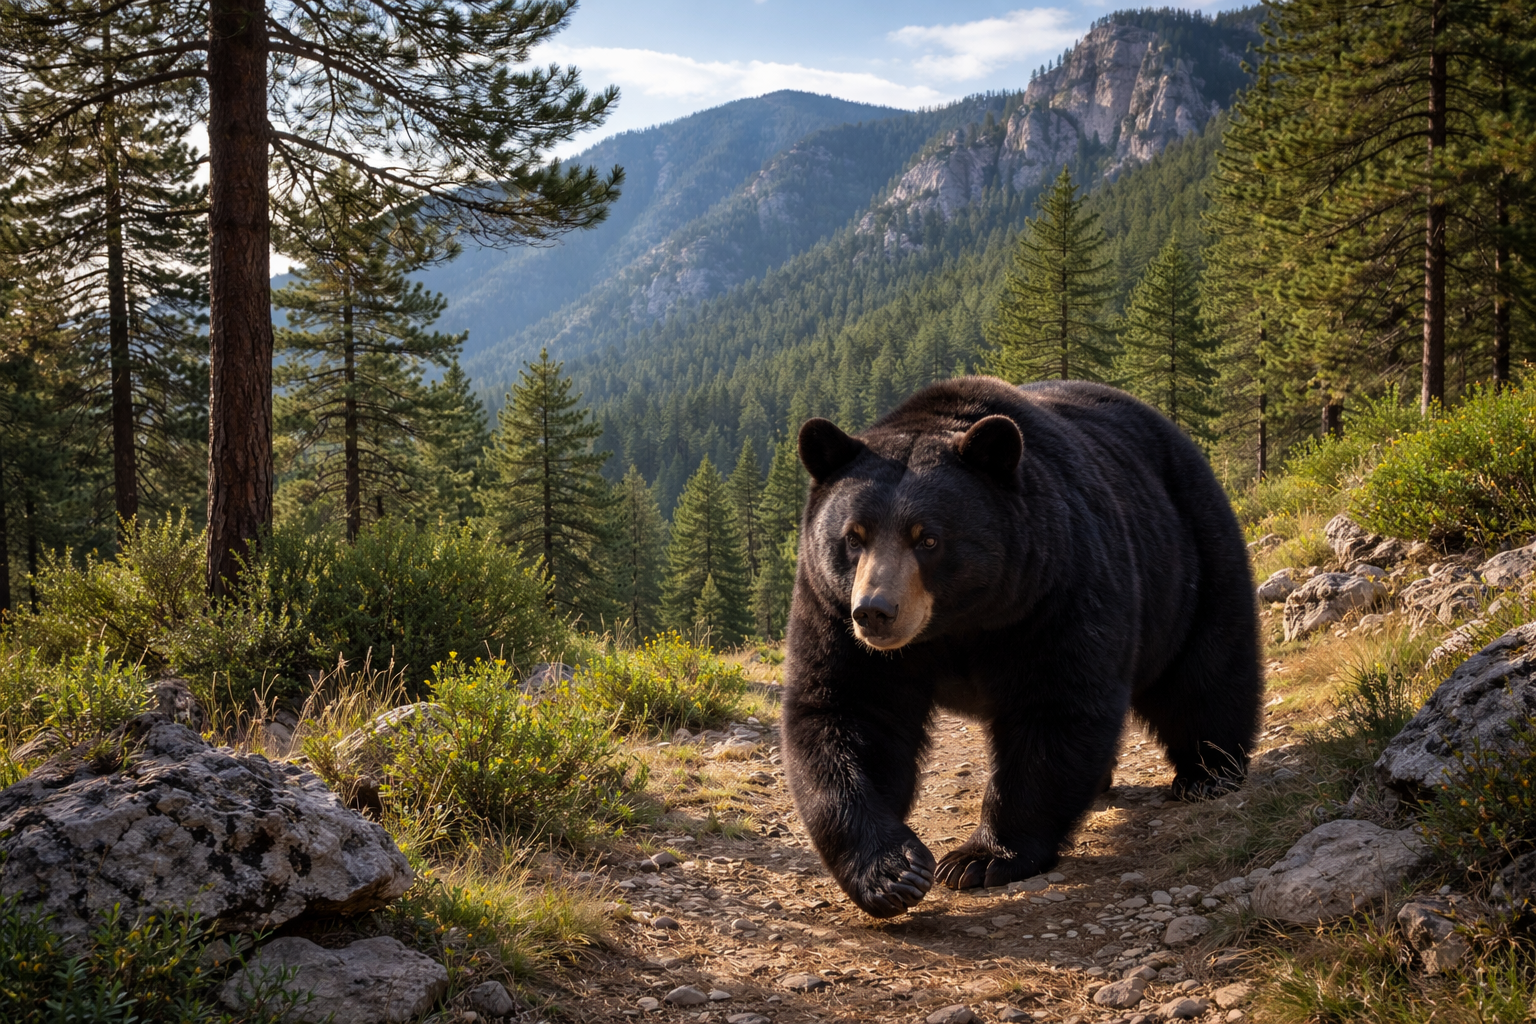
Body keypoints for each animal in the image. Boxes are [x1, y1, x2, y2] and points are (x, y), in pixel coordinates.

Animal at [780, 376, 1262, 918]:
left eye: (928, 538)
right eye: (854, 536)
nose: (876, 612)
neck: (960, 620)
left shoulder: (1053, 591)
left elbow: (1054, 705)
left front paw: (980, 859)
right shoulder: (833, 614)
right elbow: (847, 712)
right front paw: (892, 872)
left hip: (1190, 554)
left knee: (1206, 669)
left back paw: (1208, 772)